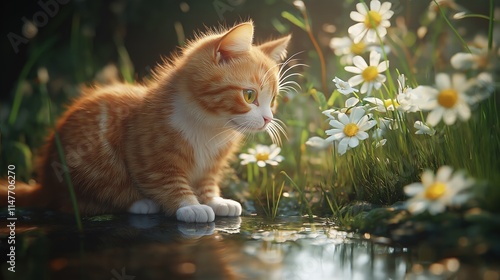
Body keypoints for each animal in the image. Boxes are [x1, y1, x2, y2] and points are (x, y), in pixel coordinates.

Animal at [30, 21, 290, 223]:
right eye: (250, 96)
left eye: (273, 100)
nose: (268, 118)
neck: (210, 125)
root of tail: (44, 184)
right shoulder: (149, 154)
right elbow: (166, 181)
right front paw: (190, 205)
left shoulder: (212, 163)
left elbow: (206, 180)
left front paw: (214, 200)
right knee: (79, 201)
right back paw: (140, 204)